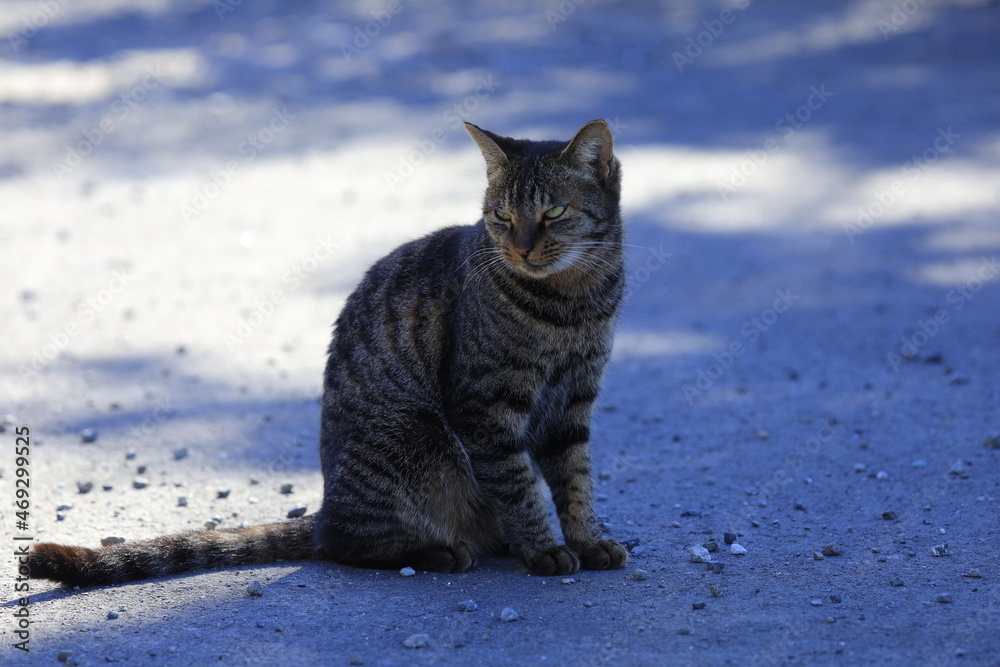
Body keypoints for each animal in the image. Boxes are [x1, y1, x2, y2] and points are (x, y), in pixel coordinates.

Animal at [29, 119, 628, 586]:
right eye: (502, 217)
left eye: (553, 213)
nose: (519, 248)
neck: (572, 305)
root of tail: (322, 508)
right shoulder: (485, 409)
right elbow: (520, 485)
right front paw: (544, 548)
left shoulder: (574, 401)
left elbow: (576, 479)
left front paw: (587, 540)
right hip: (421, 441)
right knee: (348, 545)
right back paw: (441, 551)